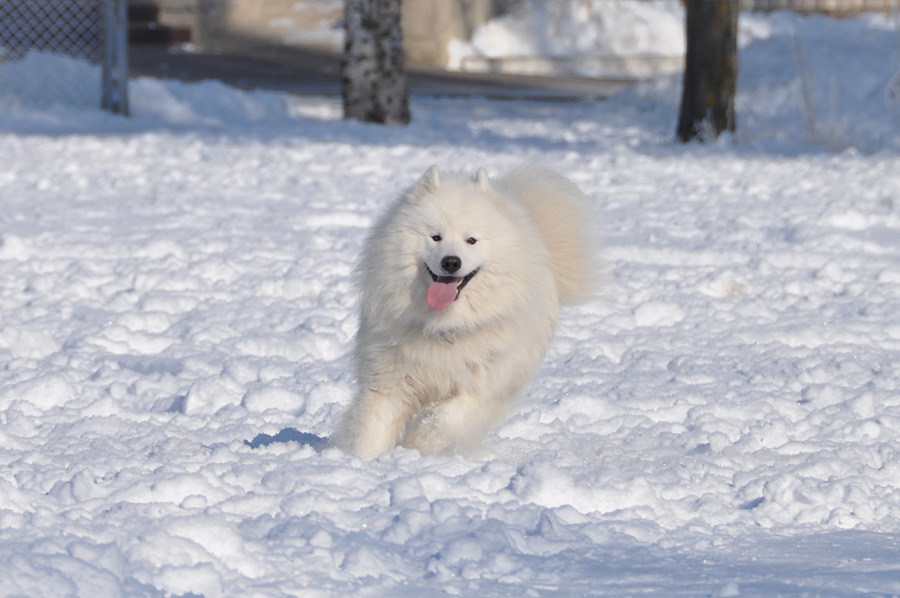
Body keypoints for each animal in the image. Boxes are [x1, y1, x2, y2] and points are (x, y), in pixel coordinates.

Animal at [334, 166, 596, 462]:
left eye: (471, 240)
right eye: (435, 237)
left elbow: (444, 419)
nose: (451, 262)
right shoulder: (389, 382)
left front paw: (418, 448)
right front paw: (362, 461)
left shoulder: (479, 389)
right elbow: (372, 428)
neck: (444, 325)